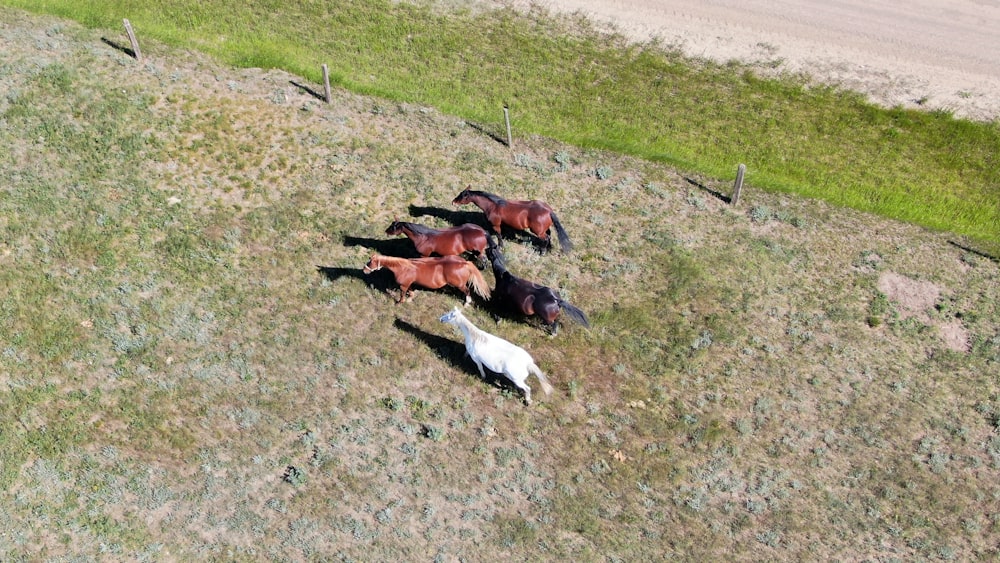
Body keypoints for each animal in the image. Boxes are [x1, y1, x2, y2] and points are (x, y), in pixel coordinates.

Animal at [366, 254, 494, 306]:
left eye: (370, 262)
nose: (364, 270)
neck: (403, 268)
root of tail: (465, 263)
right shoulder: (409, 284)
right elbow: (411, 292)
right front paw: (410, 299)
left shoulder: (403, 285)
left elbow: (402, 295)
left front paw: (399, 303)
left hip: (460, 285)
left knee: (467, 291)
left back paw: (466, 303)